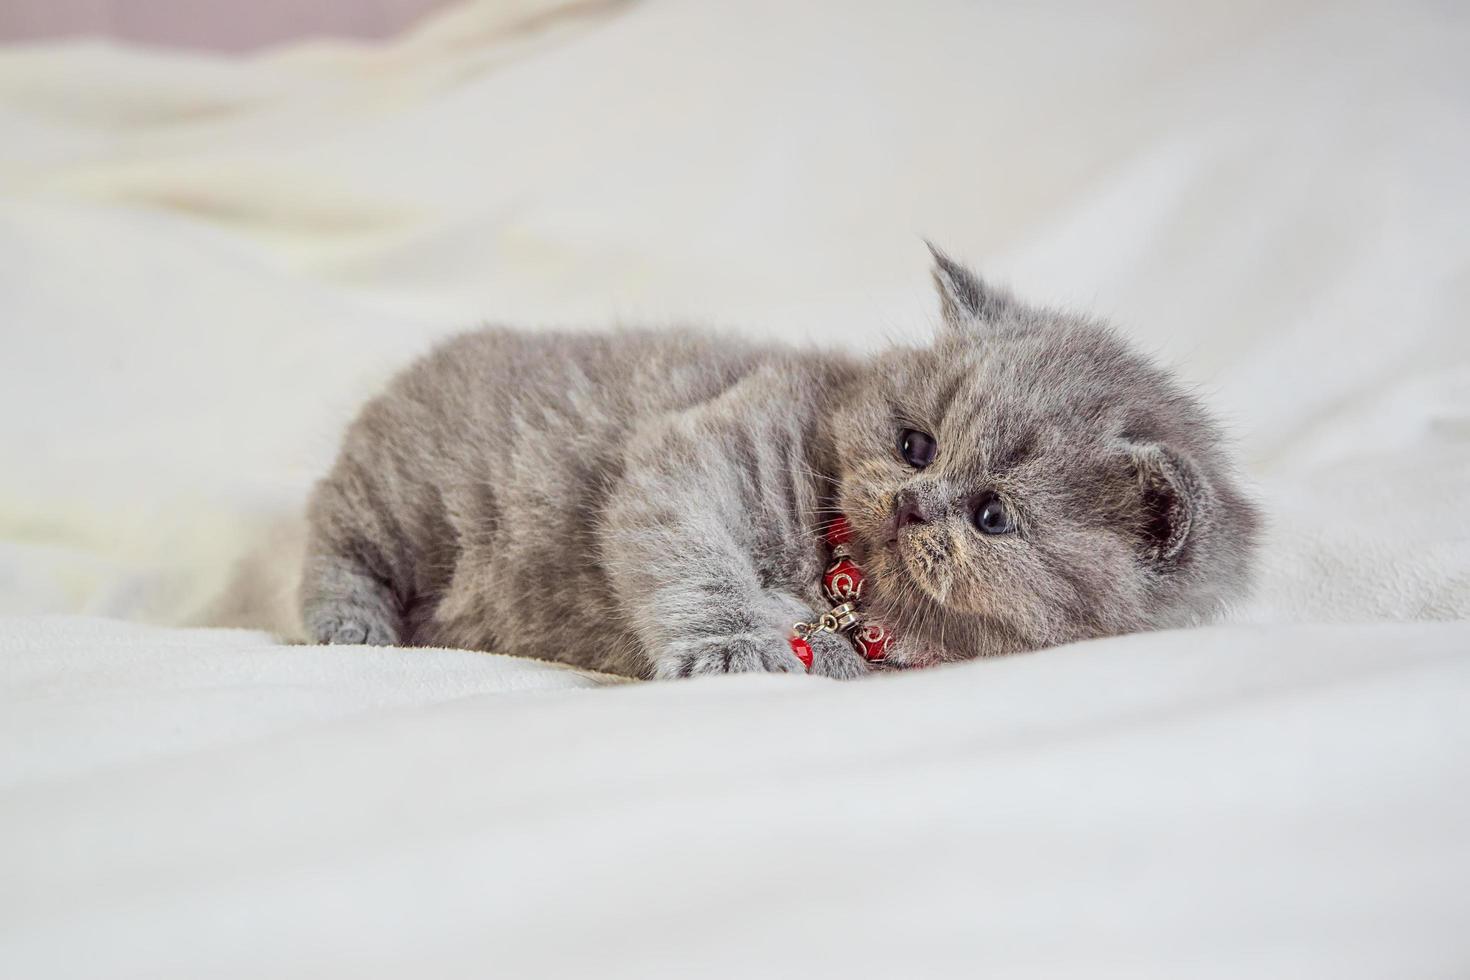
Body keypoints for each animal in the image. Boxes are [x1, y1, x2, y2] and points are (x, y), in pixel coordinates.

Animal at [301, 245, 1264, 678]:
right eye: (914, 444)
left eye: (993, 515)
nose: (913, 503)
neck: (845, 592)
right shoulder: (696, 451)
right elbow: (693, 554)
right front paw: (736, 649)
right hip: (407, 496)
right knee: (335, 539)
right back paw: (352, 625)